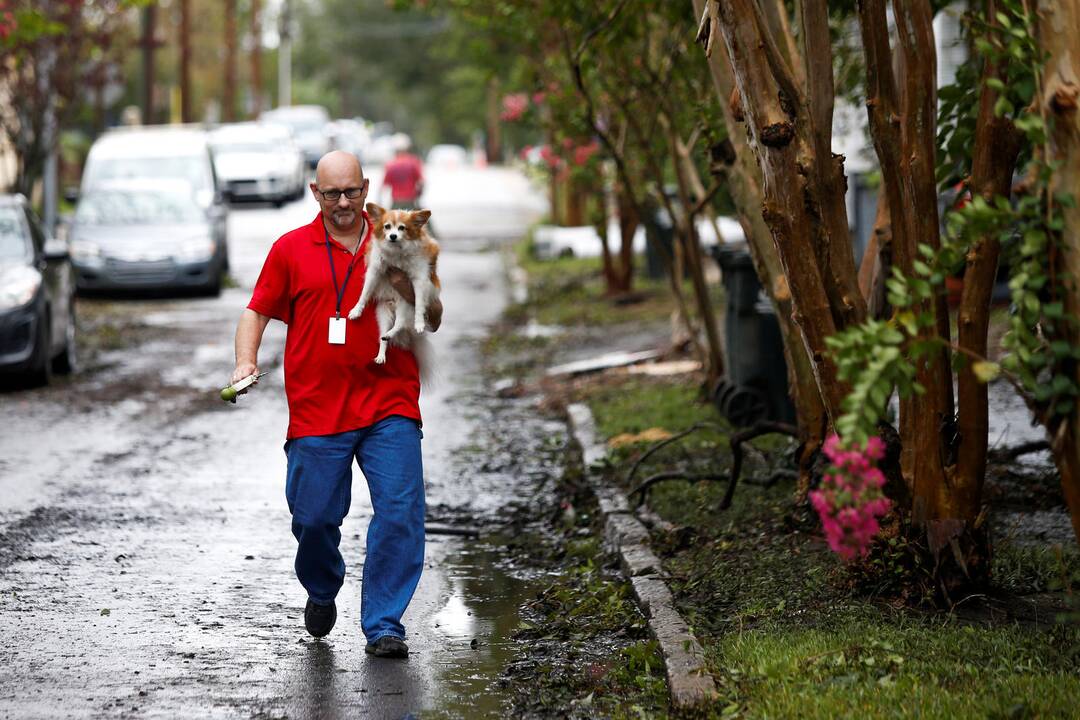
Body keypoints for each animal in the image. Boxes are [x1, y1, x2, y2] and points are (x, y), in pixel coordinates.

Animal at [349, 202, 442, 382]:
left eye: (402, 228)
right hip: (383, 313)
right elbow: (365, 293)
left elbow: (419, 304)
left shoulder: (419, 279)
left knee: (400, 323)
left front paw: (419, 323)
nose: (392, 236)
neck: (396, 251)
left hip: (404, 304)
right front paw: (356, 310)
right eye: (387, 227)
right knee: (385, 334)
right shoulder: (375, 271)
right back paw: (383, 349)